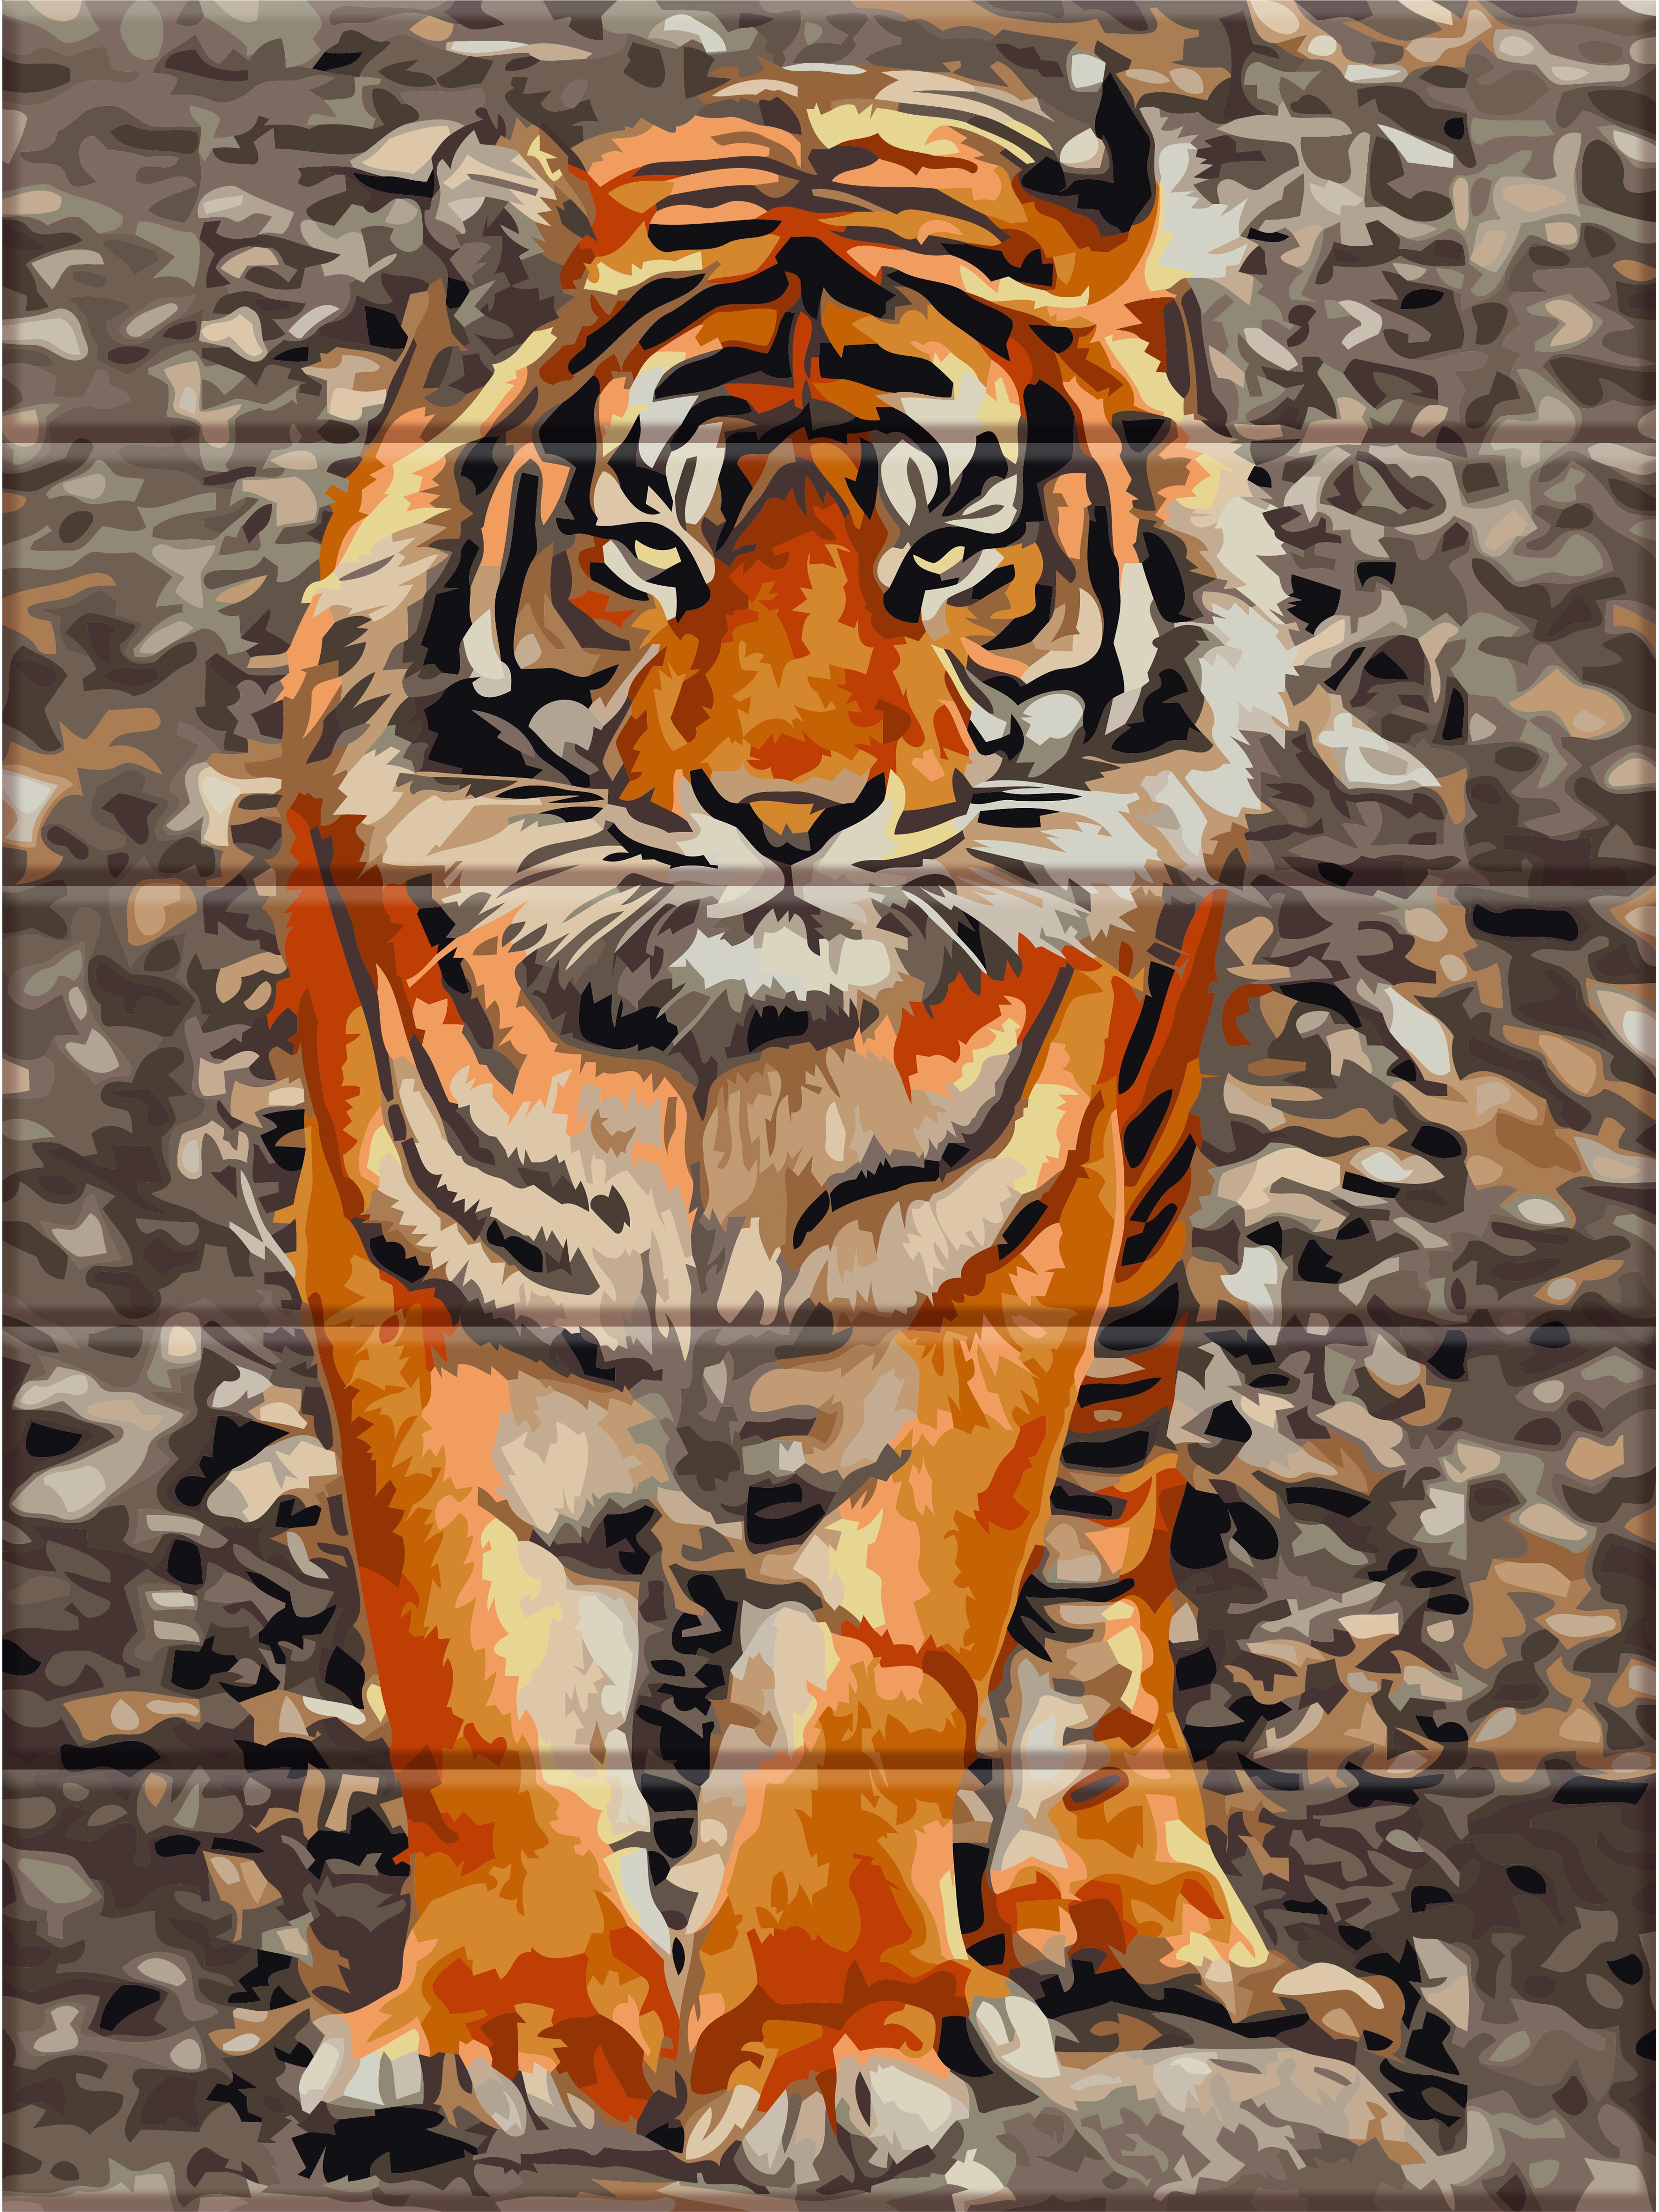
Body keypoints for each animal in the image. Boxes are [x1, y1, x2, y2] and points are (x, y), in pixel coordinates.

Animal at [278, 64, 1383, 2173]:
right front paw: (504, 2024)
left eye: (943, 553)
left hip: (1147, 1166)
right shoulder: (426, 1271)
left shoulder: (977, 1289)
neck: (725, 1052)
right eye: (653, 547)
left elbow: (874, 1684)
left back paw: (1132, 1903)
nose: (785, 813)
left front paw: (836, 2037)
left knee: (1108, 1556)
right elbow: (482, 1665)